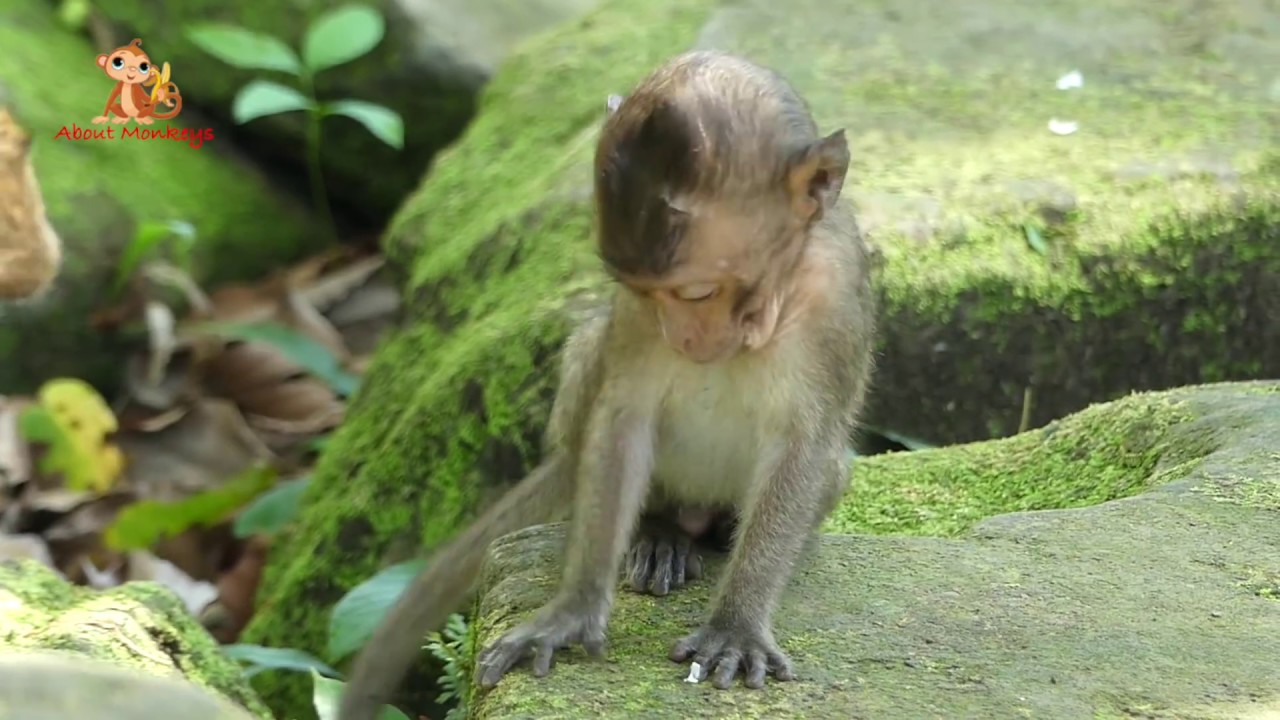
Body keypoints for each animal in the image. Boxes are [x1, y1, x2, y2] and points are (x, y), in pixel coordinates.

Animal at [337, 50, 875, 720]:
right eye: (644, 290)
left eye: (697, 291)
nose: (684, 339)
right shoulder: (637, 321)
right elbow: (623, 419)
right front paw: (572, 611)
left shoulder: (833, 311)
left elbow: (806, 445)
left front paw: (736, 625)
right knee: (594, 355)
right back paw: (660, 532)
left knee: (827, 468)